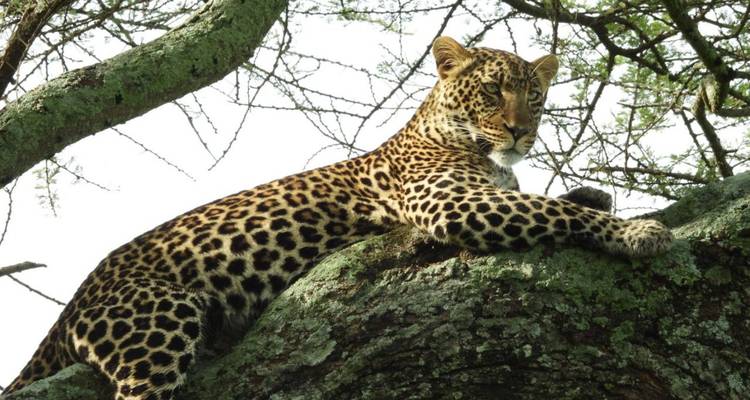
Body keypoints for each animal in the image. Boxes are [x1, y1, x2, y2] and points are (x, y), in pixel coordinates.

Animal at [3, 36, 672, 400]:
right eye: (491, 91)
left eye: (535, 95)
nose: (521, 131)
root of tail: (73, 304)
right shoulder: (454, 202)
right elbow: (547, 209)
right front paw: (636, 230)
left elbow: (550, 199)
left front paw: (593, 193)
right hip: (157, 323)